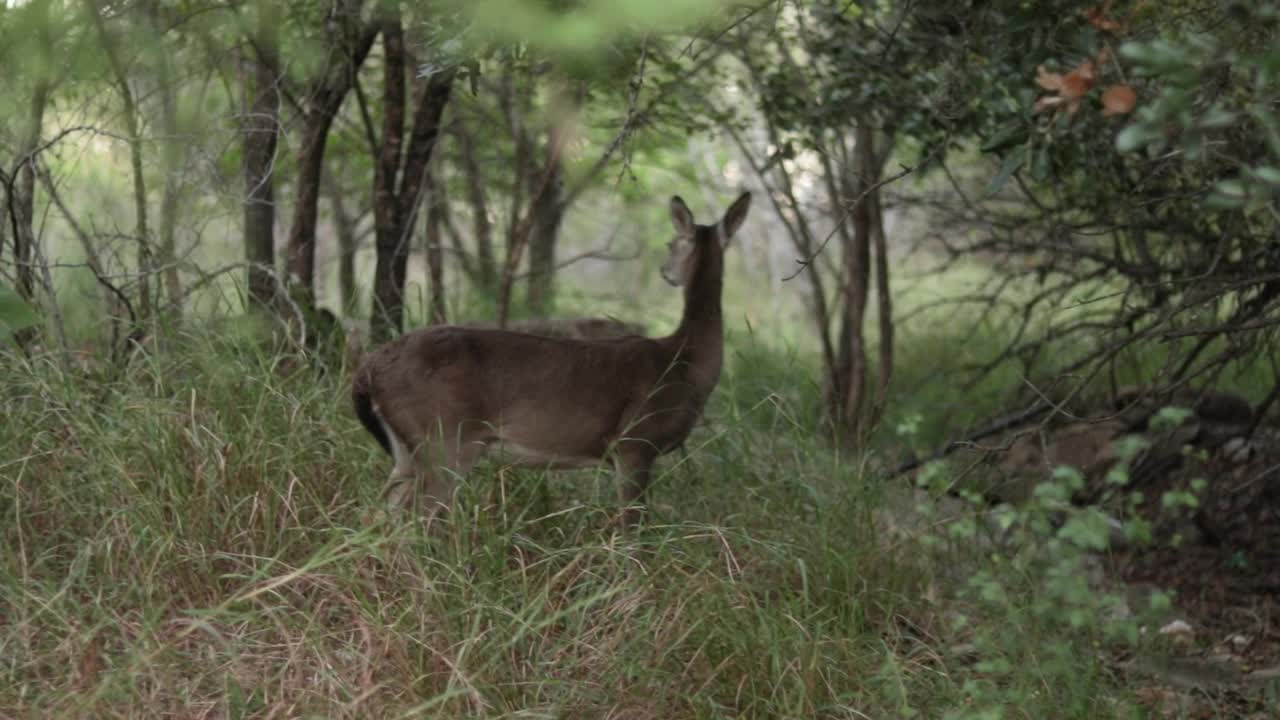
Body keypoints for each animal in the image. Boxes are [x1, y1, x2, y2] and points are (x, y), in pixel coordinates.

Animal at [350, 193, 747, 525]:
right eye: (670, 242)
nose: (665, 272)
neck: (683, 362)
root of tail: (368, 369)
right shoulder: (634, 442)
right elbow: (633, 532)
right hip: (443, 437)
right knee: (414, 521)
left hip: (407, 450)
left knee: (378, 515)